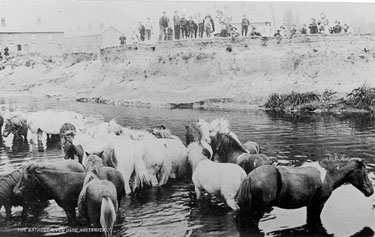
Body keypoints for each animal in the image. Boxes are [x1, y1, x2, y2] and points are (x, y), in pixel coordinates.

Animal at [238, 157, 375, 228]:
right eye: (362, 172)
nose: (371, 190)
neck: (328, 176)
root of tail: (249, 177)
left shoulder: (310, 206)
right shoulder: (317, 205)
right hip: (258, 211)